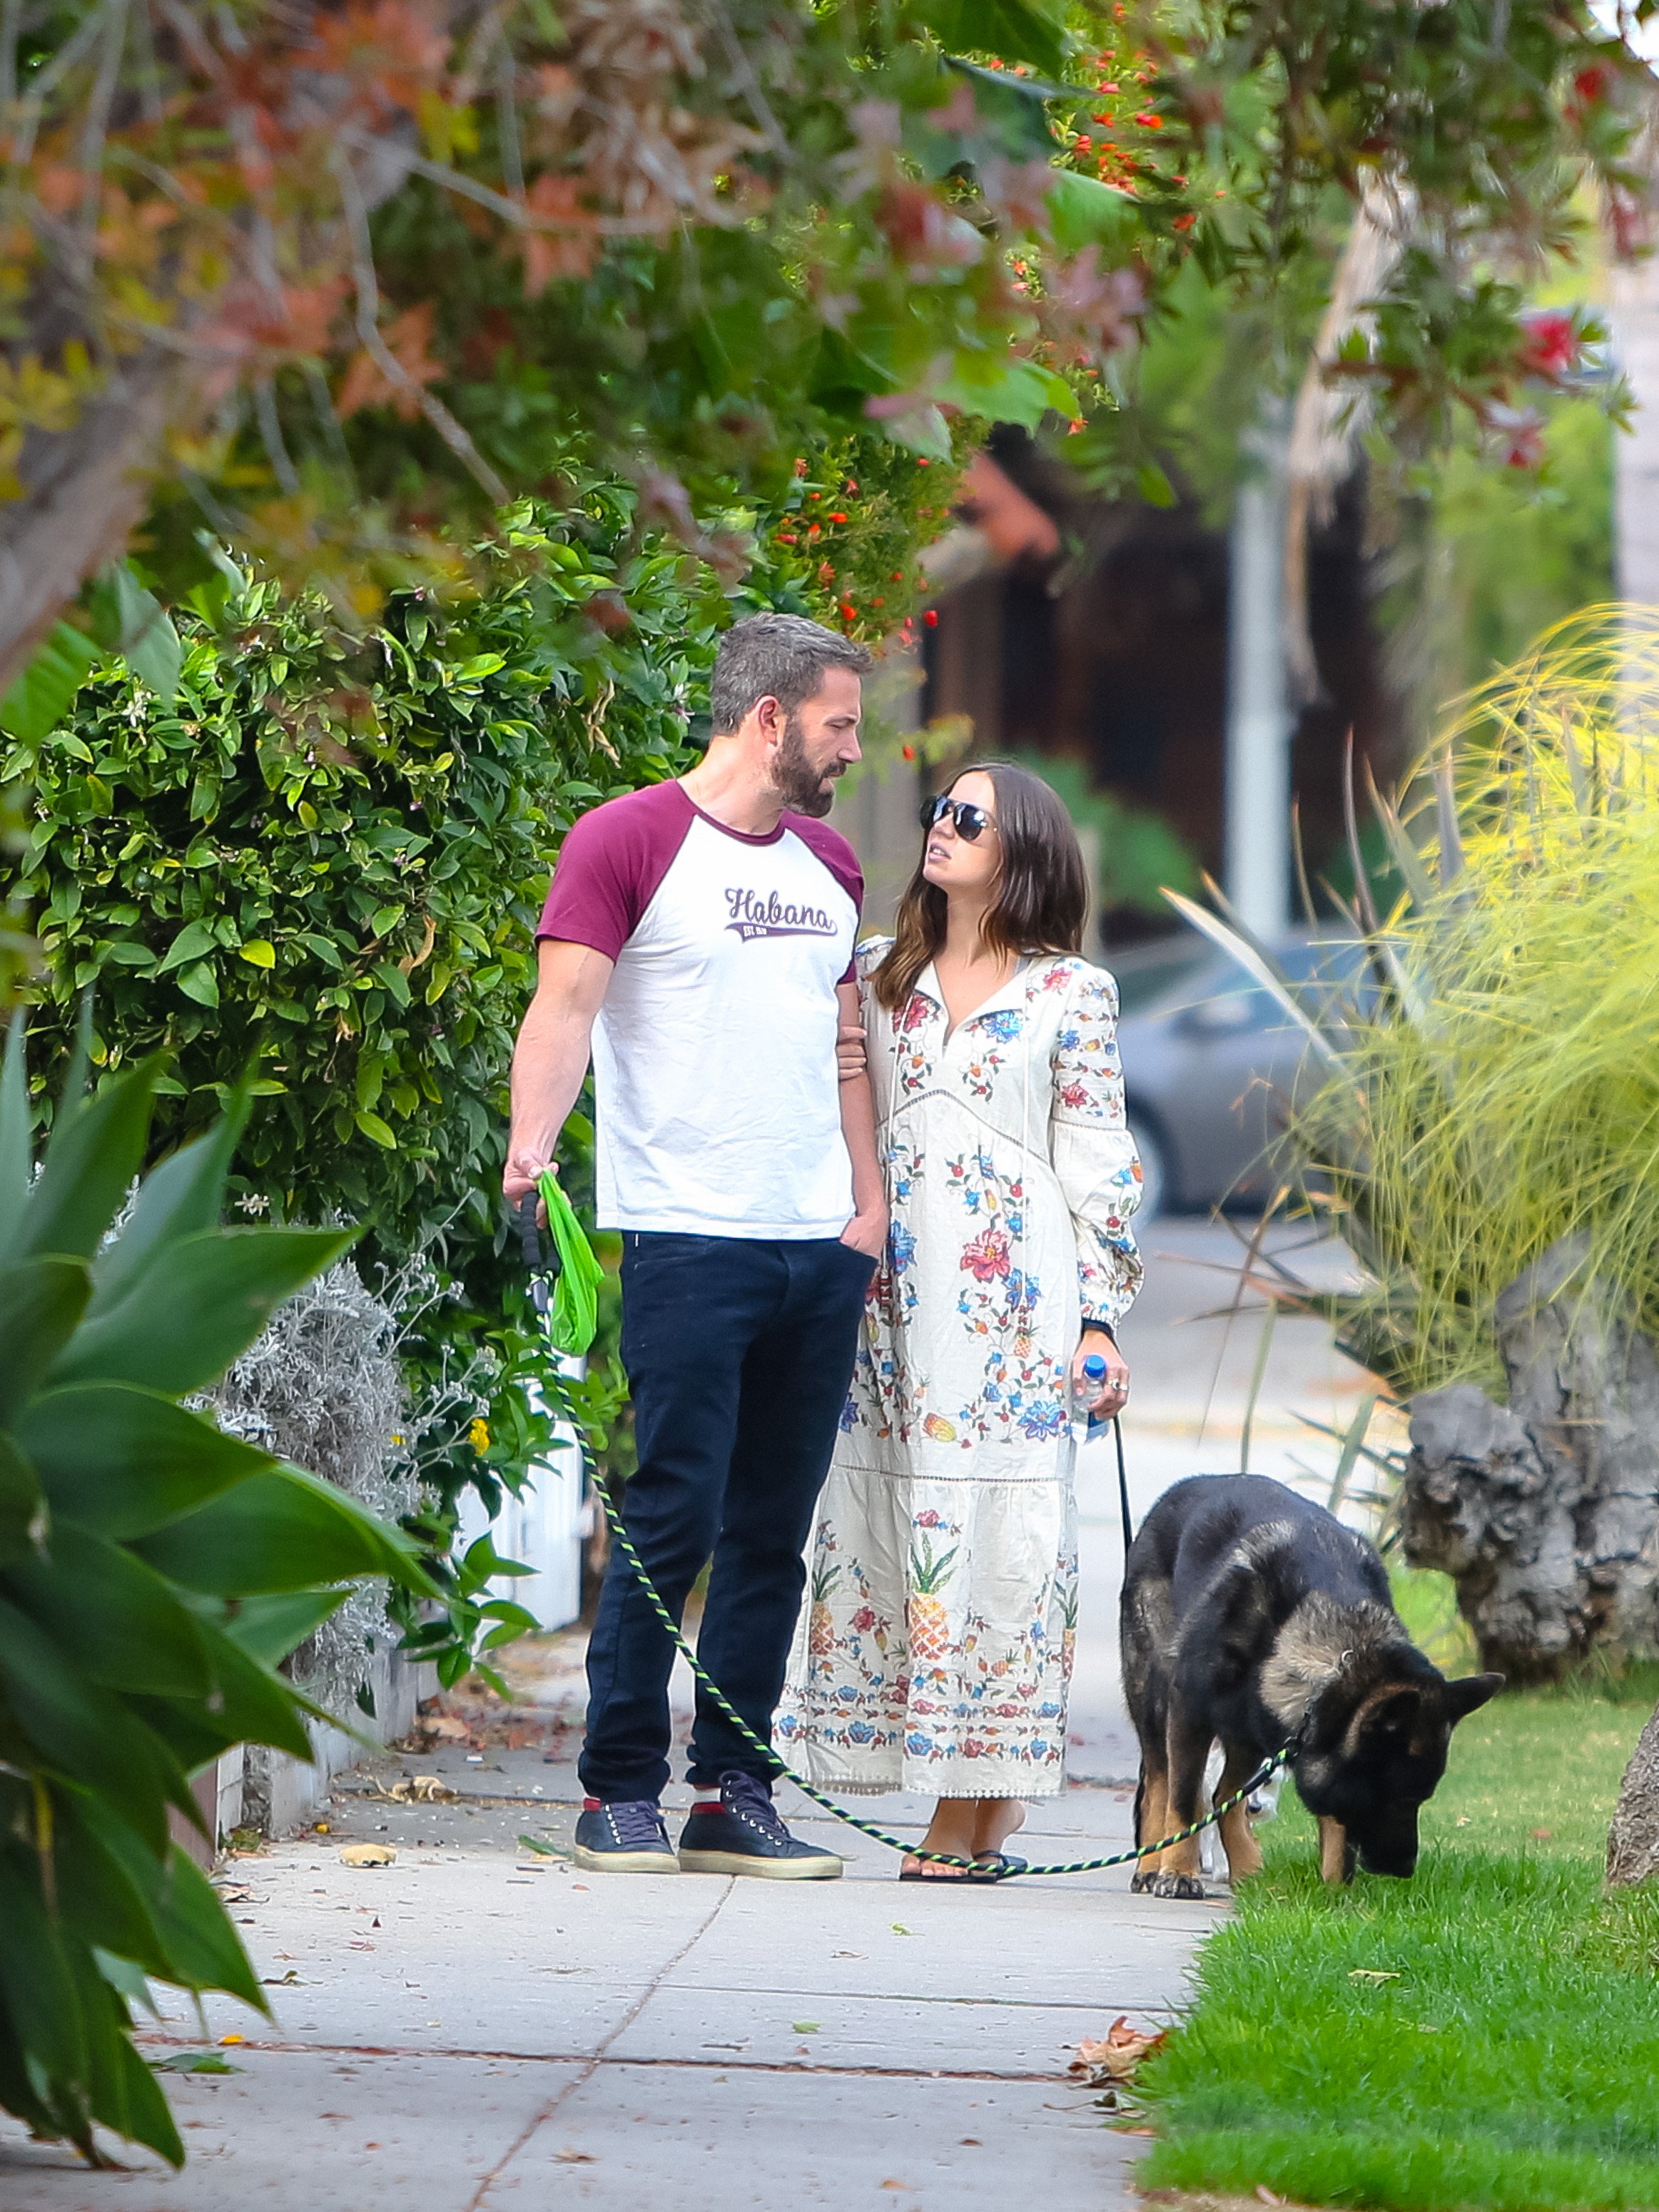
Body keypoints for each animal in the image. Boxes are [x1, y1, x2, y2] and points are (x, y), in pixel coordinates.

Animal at [1119, 1477, 1504, 1893]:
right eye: (1401, 1798)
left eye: (1421, 1798)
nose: (1404, 1869)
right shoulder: (1190, 1712)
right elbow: (1186, 1801)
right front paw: (1179, 1873)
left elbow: (1335, 1827)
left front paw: (1336, 1888)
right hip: (1156, 1699)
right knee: (1160, 1785)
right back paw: (1151, 1867)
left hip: (1248, 1729)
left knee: (1227, 1795)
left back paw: (1249, 1870)